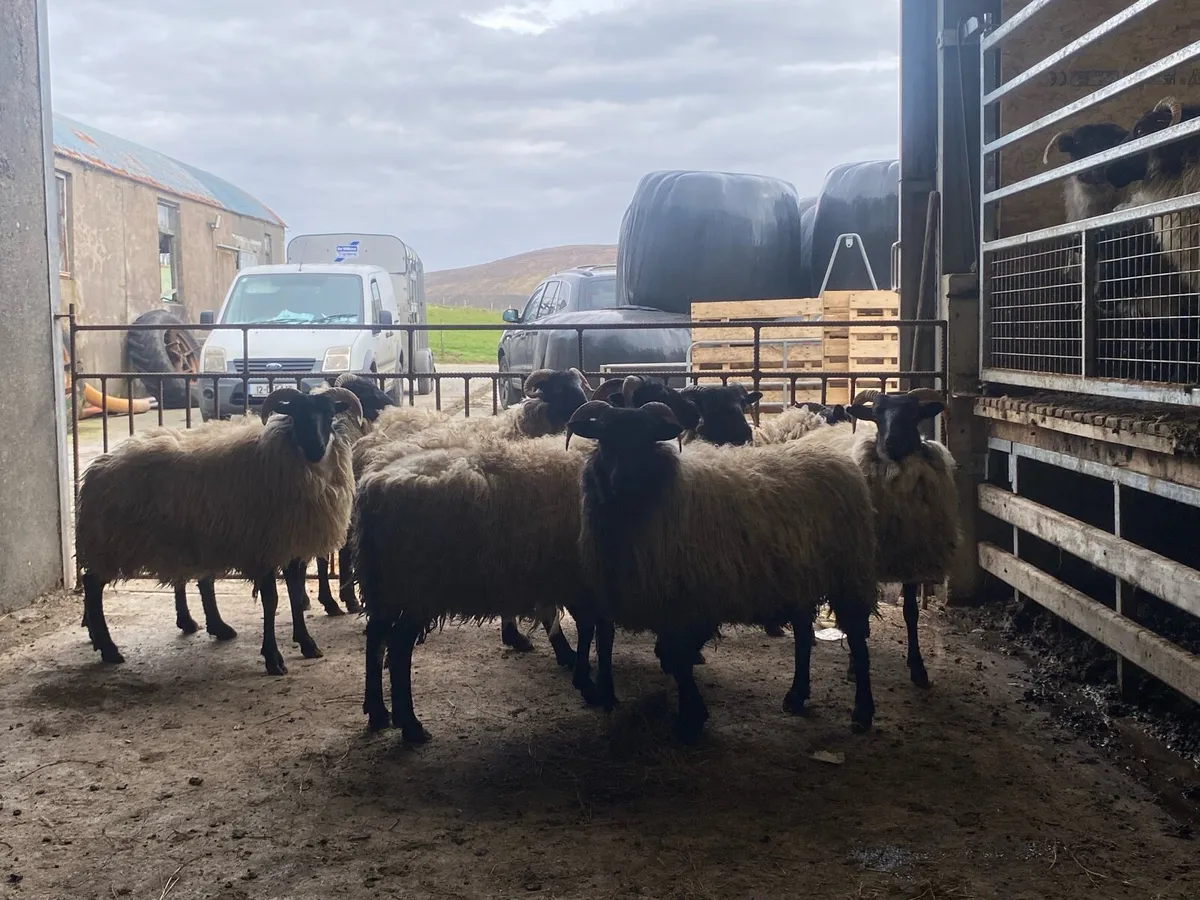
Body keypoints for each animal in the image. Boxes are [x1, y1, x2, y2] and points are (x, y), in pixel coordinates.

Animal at [76, 386, 364, 675]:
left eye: (329, 414)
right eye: (297, 413)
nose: (316, 448)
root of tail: (97, 467)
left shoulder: (293, 544)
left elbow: (294, 595)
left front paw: (306, 643)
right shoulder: (263, 547)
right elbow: (271, 601)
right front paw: (273, 657)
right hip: (111, 541)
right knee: (92, 584)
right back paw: (108, 648)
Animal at [354, 433, 594, 741]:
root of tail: (374, 483)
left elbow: (553, 614)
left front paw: (568, 658)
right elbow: (584, 627)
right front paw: (585, 677)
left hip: (385, 587)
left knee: (375, 639)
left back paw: (377, 712)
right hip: (417, 587)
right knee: (397, 649)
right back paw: (410, 726)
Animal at [564, 399, 880, 742]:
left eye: (647, 437)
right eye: (604, 437)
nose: (624, 479)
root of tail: (842, 463)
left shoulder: (685, 600)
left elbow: (680, 658)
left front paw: (689, 720)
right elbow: (673, 657)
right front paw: (690, 715)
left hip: (848, 574)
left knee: (857, 641)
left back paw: (862, 713)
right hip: (800, 579)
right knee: (803, 635)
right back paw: (796, 696)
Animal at [798, 388, 959, 688]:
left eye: (912, 414)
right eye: (876, 414)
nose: (890, 442)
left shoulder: (911, 558)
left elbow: (911, 613)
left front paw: (918, 668)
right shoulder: (866, 559)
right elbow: (859, 614)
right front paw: (854, 665)